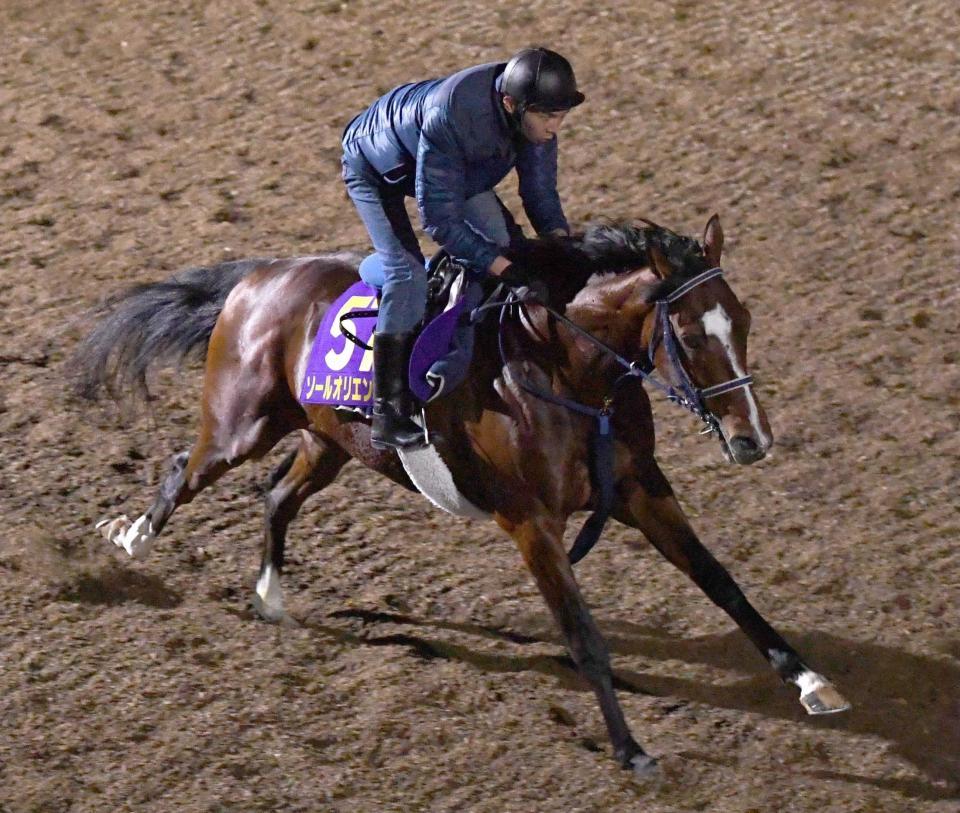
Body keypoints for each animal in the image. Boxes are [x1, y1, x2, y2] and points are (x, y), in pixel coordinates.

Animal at [77, 214, 856, 772]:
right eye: (691, 335)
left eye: (744, 320)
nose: (753, 440)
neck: (564, 373)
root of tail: (257, 276)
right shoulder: (531, 521)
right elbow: (584, 635)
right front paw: (630, 748)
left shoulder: (640, 489)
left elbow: (724, 584)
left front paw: (810, 680)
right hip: (242, 424)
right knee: (185, 468)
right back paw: (131, 539)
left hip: (332, 440)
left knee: (278, 495)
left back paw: (269, 594)